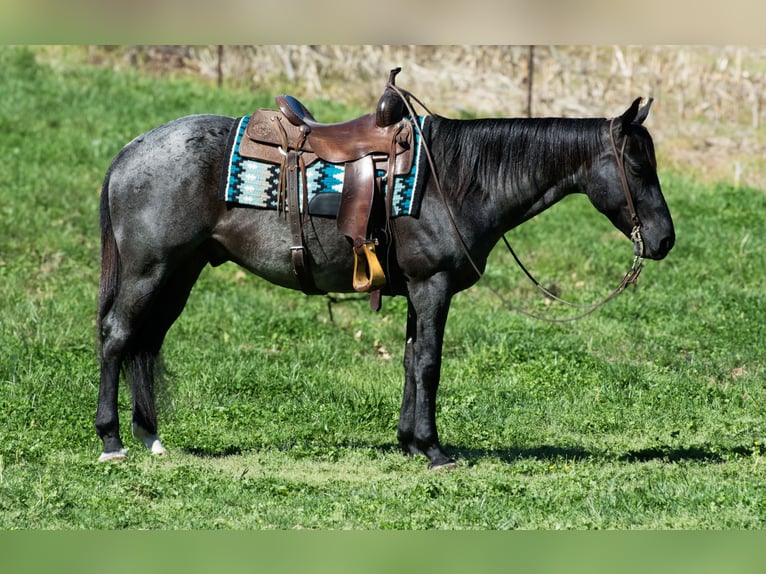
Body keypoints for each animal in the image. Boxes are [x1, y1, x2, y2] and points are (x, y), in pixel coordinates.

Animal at [95, 96, 675, 469]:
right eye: (637, 166)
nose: (665, 239)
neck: (456, 180)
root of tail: (131, 149)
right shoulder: (433, 286)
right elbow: (430, 363)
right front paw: (434, 450)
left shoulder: (419, 290)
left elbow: (411, 359)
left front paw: (410, 442)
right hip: (150, 269)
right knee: (118, 337)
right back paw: (112, 440)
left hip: (180, 272)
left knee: (146, 342)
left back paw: (150, 437)